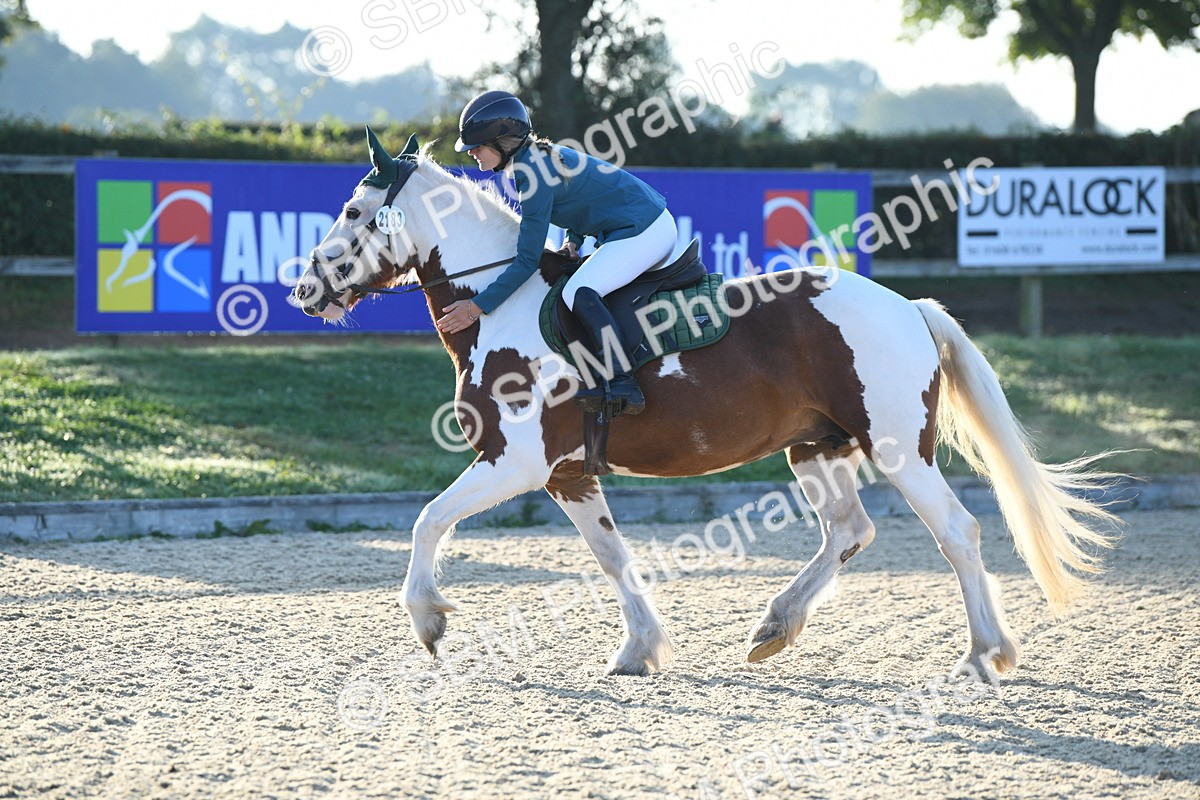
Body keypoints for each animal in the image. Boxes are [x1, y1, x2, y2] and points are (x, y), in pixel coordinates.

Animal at [291, 130, 1117, 679]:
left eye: (356, 211)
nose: (304, 290)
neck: (501, 302)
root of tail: (908, 306)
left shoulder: (513, 461)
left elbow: (428, 520)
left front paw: (429, 620)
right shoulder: (567, 476)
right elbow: (613, 558)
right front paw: (638, 650)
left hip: (894, 449)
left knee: (957, 532)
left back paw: (983, 654)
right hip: (814, 447)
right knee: (850, 530)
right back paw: (775, 625)